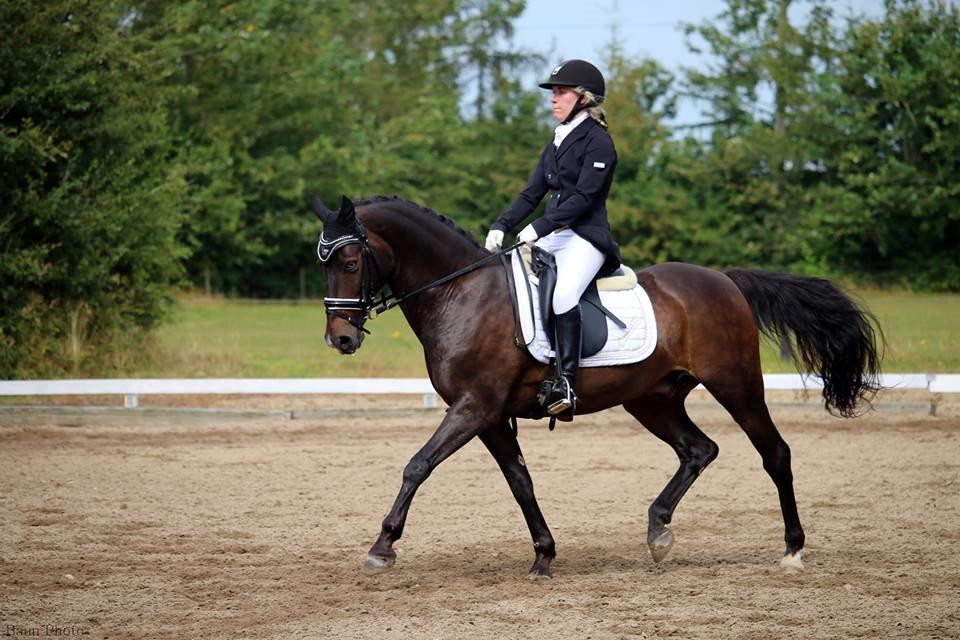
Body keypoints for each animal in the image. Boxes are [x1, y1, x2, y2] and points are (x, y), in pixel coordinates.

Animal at [311, 194, 881, 579]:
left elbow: (417, 465)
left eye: (350, 262)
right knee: (699, 449)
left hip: (736, 385)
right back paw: (658, 531)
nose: (340, 339)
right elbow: (520, 482)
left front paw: (382, 546)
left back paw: (792, 550)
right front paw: (543, 556)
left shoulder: (473, 408)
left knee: (775, 454)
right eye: (323, 264)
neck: (460, 293)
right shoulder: (489, 416)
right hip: (652, 400)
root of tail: (723, 279)